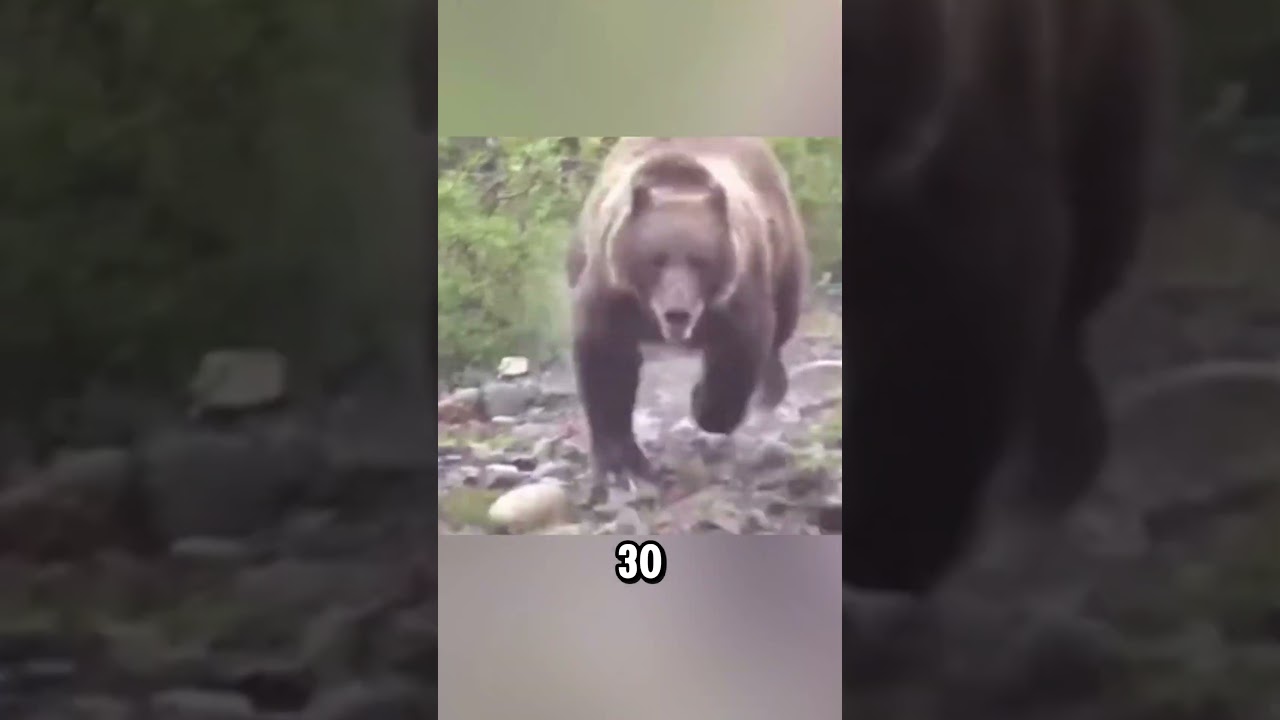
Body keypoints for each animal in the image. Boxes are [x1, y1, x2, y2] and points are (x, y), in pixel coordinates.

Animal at [567, 138, 809, 487]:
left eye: (700, 260)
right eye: (657, 259)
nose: (677, 312)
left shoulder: (736, 294)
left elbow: (739, 352)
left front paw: (703, 405)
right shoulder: (611, 292)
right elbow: (606, 363)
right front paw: (620, 461)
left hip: (784, 250)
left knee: (783, 322)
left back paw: (770, 388)